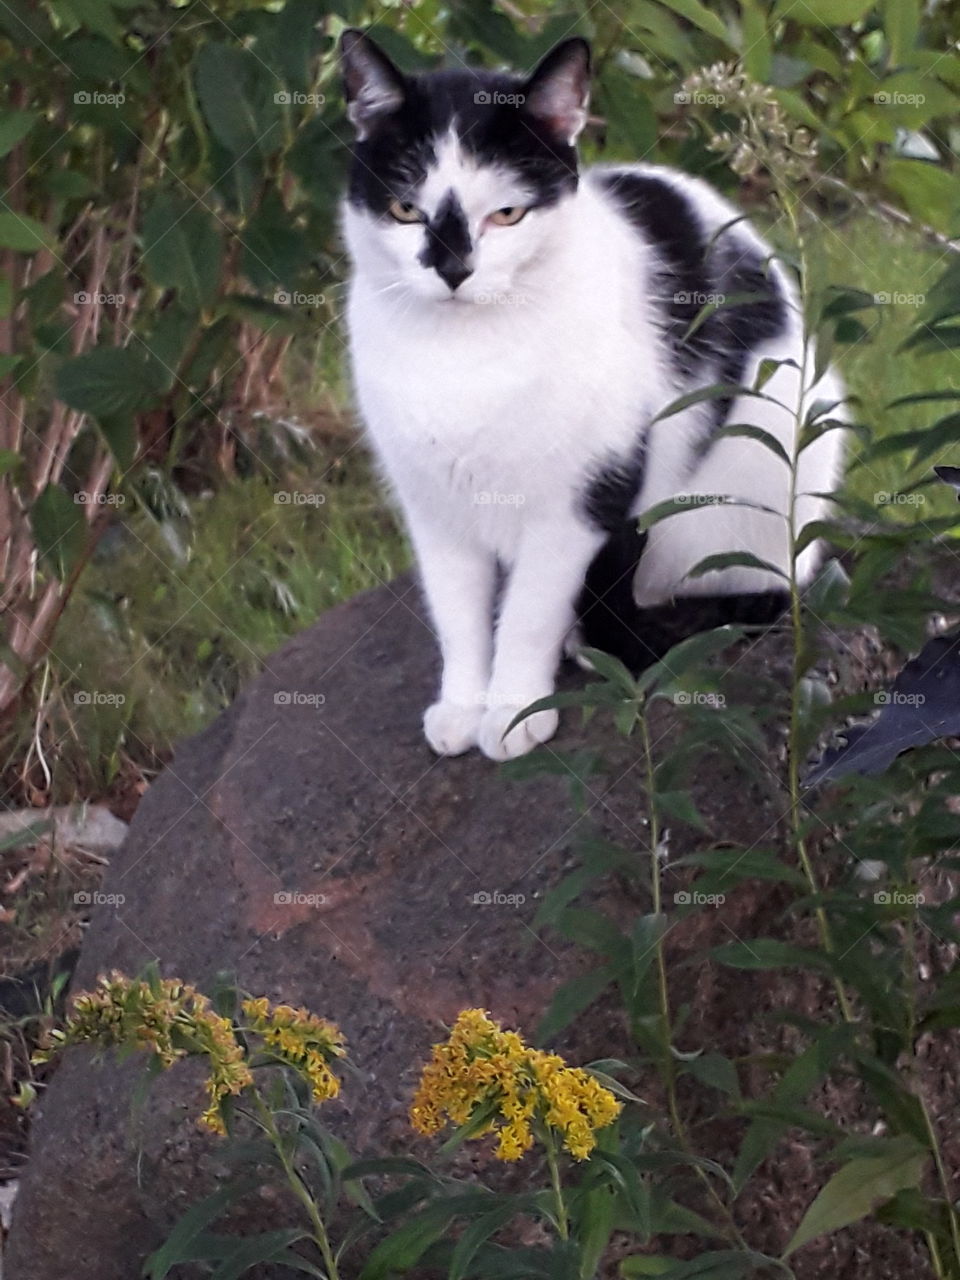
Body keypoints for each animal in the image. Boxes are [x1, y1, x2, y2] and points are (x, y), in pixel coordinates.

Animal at [340, 32, 849, 757]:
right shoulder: (433, 505)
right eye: (405, 209)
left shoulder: (586, 496)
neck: (466, 358)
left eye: (508, 214)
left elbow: (530, 613)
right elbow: (457, 612)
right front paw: (463, 704)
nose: (454, 270)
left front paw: (513, 711)